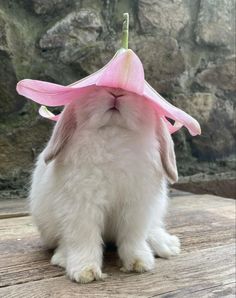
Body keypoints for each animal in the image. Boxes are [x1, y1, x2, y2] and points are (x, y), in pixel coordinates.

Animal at [30, 86, 181, 284]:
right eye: (96, 88)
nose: (116, 91)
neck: (114, 132)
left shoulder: (137, 208)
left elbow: (133, 237)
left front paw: (139, 263)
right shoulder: (81, 206)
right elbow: (83, 237)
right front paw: (85, 272)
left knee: (152, 230)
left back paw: (168, 246)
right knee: (64, 241)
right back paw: (62, 258)